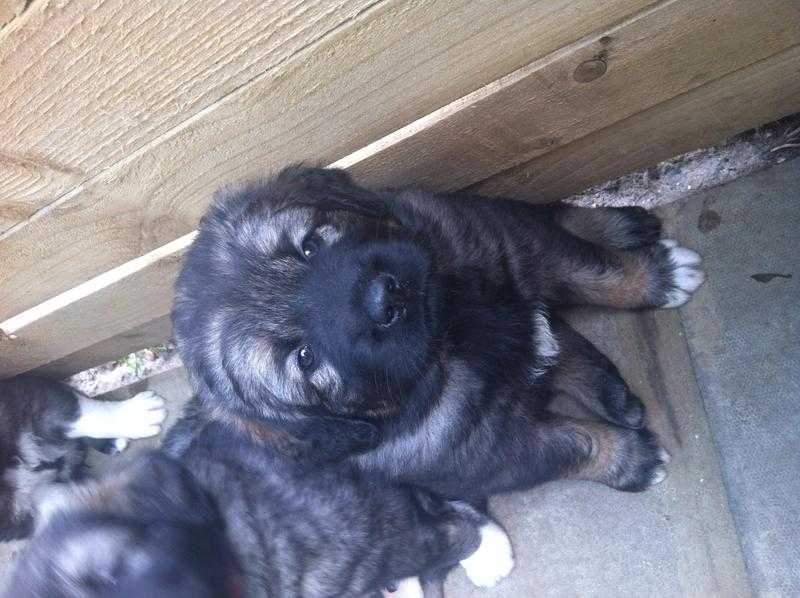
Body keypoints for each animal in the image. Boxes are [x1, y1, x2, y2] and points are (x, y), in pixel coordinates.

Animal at [172, 166, 704, 504]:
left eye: (309, 246)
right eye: (304, 358)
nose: (383, 299)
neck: (453, 327)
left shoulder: (509, 244)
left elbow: (597, 272)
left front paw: (658, 278)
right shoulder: (491, 453)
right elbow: (574, 445)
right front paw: (631, 459)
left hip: (481, 213)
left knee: (551, 218)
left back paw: (619, 224)